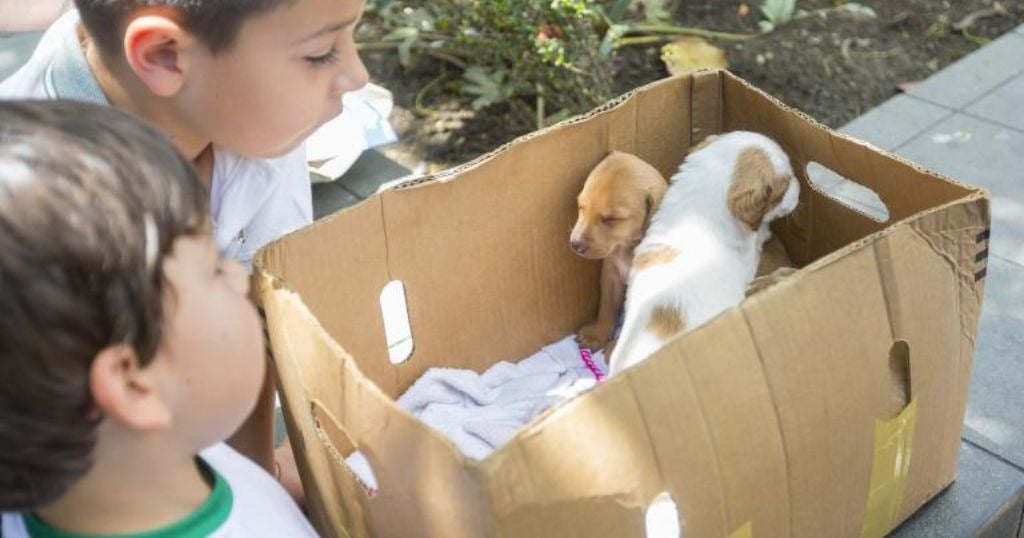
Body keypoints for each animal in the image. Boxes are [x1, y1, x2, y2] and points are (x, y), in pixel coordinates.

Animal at [573, 150, 667, 352]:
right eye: (581, 207)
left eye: (611, 219)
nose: (574, 244)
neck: (627, 248)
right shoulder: (611, 274)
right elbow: (607, 306)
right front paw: (597, 335)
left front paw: (616, 349)